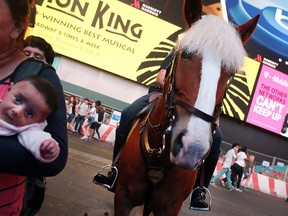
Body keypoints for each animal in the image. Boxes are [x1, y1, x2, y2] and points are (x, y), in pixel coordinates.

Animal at [114, 0, 258, 215]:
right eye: (186, 54)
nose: (193, 148)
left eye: (232, 72)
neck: (159, 157)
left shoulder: (169, 207)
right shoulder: (123, 199)